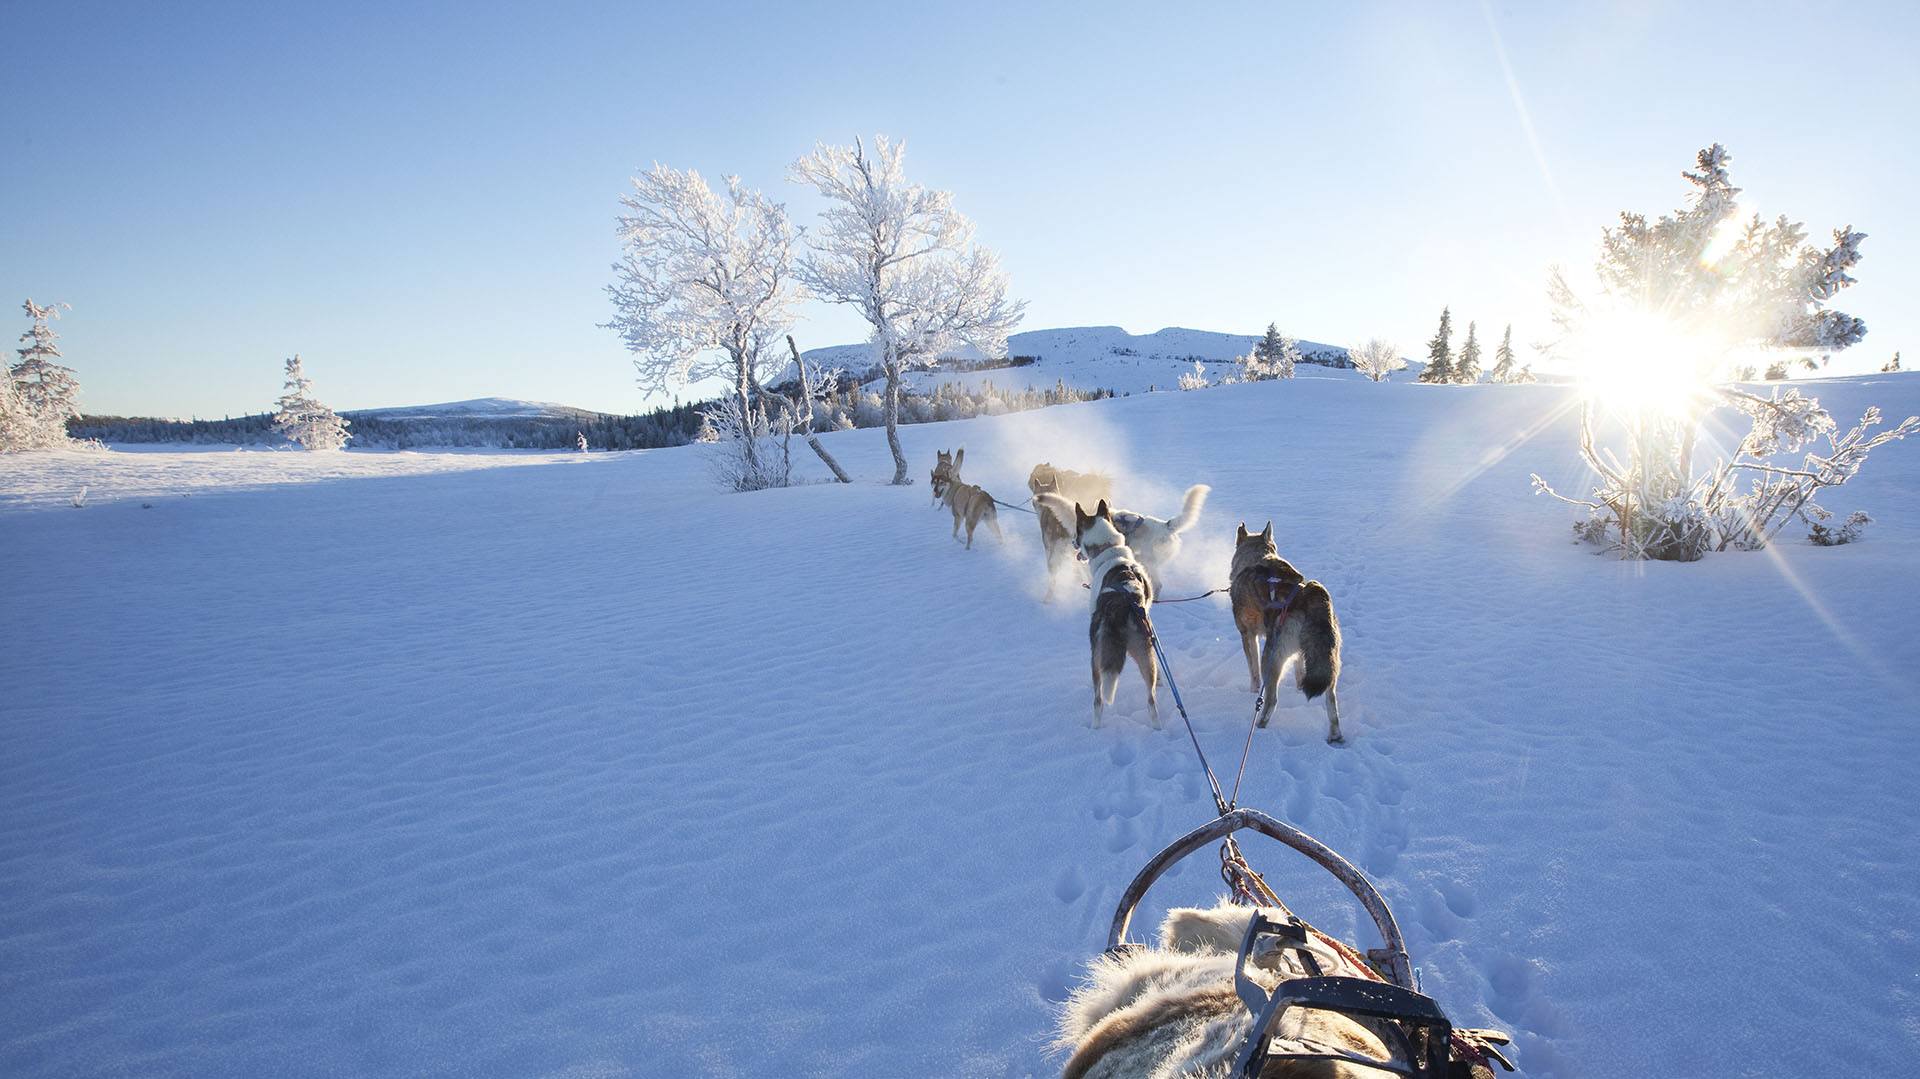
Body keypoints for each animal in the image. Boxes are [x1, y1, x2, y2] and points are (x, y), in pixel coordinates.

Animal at [1067, 499, 1152, 725]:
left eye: (1077, 532)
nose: (1072, 542)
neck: (1110, 549)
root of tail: (1121, 603)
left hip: (1097, 654)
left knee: (1098, 700)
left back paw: (1095, 727)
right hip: (1147, 653)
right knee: (1152, 699)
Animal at [1236, 526, 1344, 744]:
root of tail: (1307, 595)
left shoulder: (1247, 635)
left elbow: (1253, 672)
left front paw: (1252, 690)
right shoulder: (1300, 653)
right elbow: (1299, 671)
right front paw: (1299, 687)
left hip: (1270, 658)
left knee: (1271, 701)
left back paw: (1259, 729)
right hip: (1329, 662)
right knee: (1331, 700)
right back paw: (1335, 735)